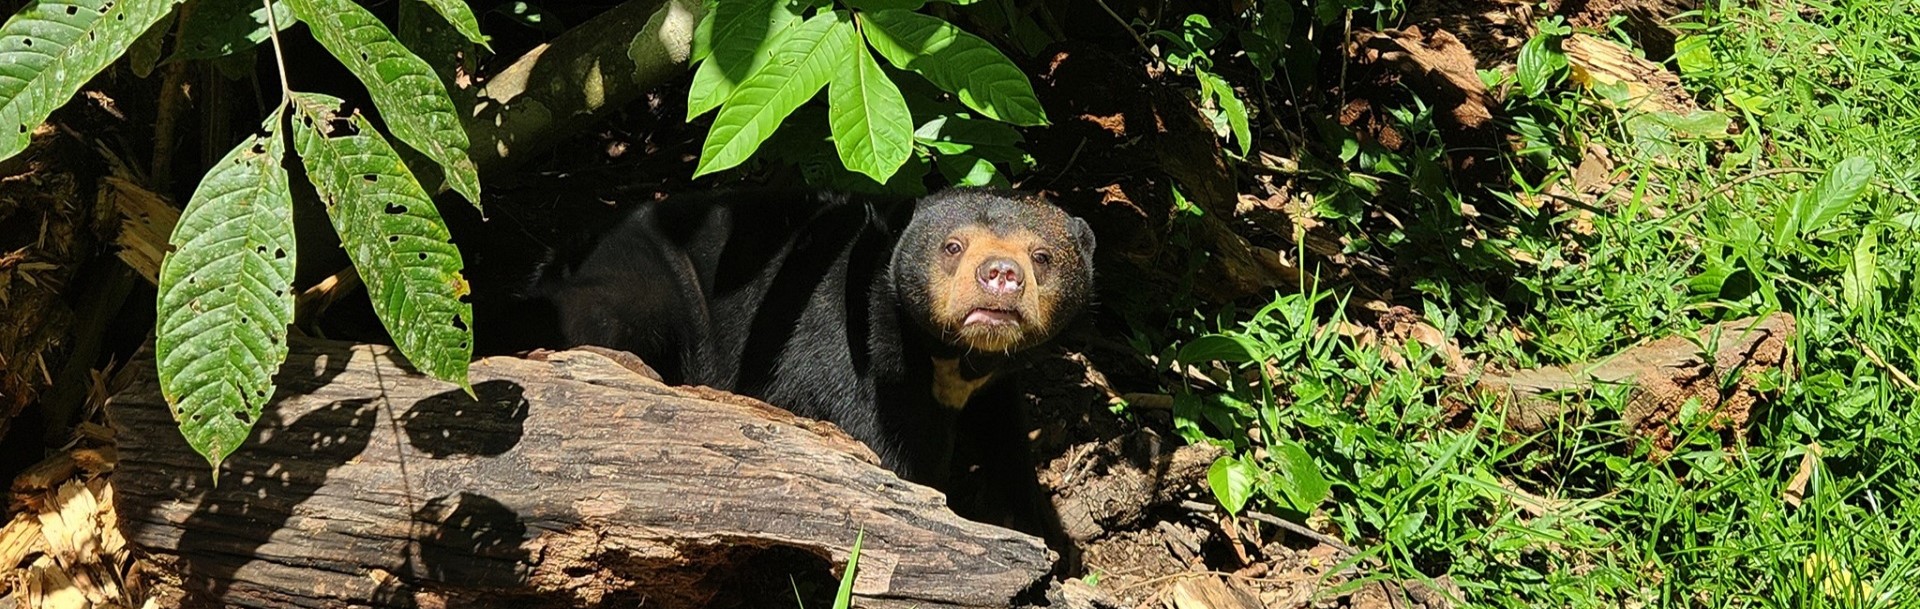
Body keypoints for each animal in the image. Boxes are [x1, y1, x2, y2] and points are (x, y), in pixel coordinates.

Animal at [460, 186, 1098, 484]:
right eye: (953, 247)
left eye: (1042, 257)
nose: (1001, 275)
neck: (949, 361)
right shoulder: (846, 348)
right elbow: (873, 439)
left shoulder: (995, 391)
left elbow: (1008, 458)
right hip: (646, 282)